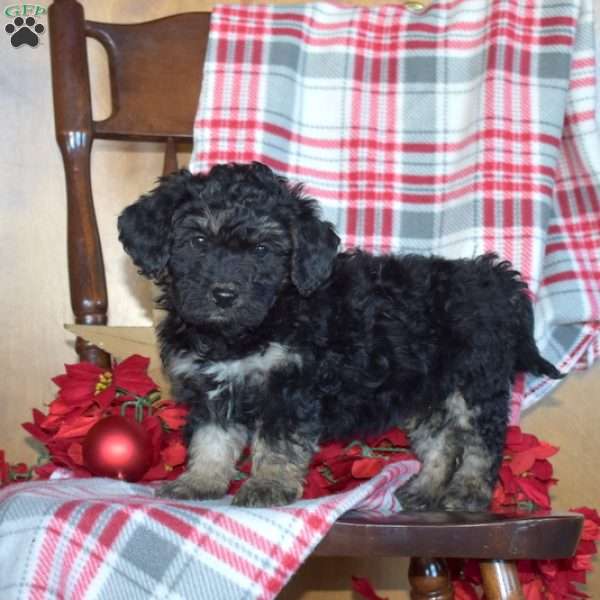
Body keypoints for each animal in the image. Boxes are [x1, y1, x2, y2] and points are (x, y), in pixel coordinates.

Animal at [118, 162, 564, 508]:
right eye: (197, 241)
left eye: (263, 250)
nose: (224, 294)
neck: (245, 331)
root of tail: (496, 280)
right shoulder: (211, 389)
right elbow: (210, 439)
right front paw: (200, 482)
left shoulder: (288, 386)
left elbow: (277, 443)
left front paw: (267, 485)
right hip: (427, 392)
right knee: (442, 441)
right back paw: (426, 488)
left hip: (473, 383)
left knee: (481, 442)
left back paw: (468, 492)